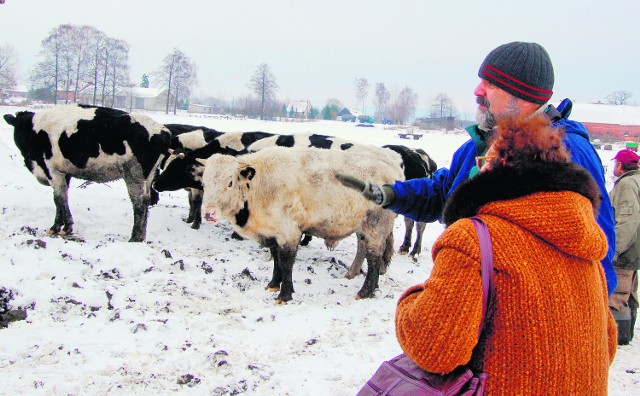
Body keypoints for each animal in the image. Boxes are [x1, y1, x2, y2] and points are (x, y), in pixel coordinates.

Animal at [2, 103, 171, 241]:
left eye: (19, 130)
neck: (35, 129)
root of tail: (161, 130)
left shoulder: (51, 170)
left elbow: (59, 198)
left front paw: (64, 228)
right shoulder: (64, 172)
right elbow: (60, 198)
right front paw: (58, 226)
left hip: (134, 174)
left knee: (139, 203)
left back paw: (135, 238)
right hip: (147, 176)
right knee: (147, 200)